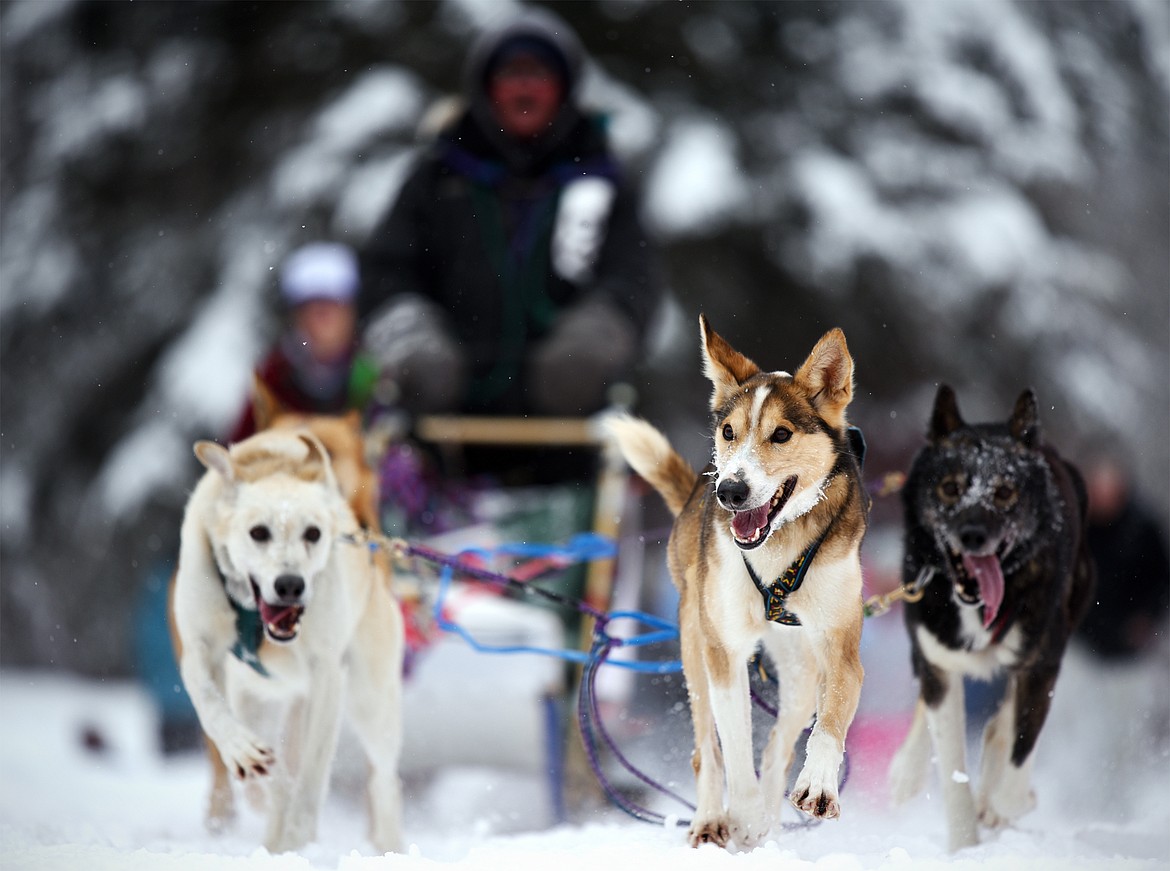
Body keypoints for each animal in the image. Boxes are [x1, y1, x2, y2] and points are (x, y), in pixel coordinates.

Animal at [169, 433, 407, 852]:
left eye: (313, 533)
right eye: (258, 532)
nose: (291, 585)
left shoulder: (327, 674)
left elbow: (312, 773)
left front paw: (300, 830)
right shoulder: (200, 649)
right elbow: (210, 703)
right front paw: (241, 750)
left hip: (371, 703)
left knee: (383, 780)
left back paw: (387, 844)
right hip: (254, 701)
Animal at [603, 313, 870, 852]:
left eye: (781, 434)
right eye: (729, 431)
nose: (730, 490)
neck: (776, 553)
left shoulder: (840, 648)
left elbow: (828, 724)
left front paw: (818, 785)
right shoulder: (722, 649)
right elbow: (735, 747)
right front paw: (741, 813)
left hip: (801, 672)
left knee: (778, 747)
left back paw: (768, 821)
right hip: (694, 642)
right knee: (707, 749)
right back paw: (714, 820)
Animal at [889, 386, 1090, 852]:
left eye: (1004, 492)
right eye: (950, 488)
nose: (973, 535)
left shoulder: (1042, 666)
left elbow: (1020, 753)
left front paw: (1002, 803)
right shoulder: (938, 663)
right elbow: (952, 773)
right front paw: (964, 846)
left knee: (1005, 723)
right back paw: (906, 771)